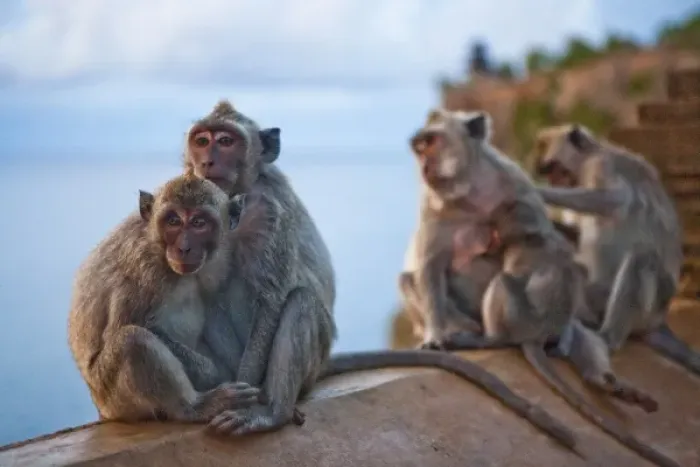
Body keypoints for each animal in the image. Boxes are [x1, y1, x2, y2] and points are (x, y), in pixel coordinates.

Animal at [405, 108, 680, 467]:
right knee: (411, 280)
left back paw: (602, 378)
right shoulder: (433, 205)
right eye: (421, 147)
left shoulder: (516, 183)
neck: (469, 190)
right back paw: (474, 336)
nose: (425, 166)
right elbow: (430, 267)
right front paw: (435, 336)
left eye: (433, 142)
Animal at [533, 124, 700, 377]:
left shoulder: (600, 165)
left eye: (556, 170)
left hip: (648, 308)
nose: (554, 183)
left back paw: (607, 338)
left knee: (642, 256)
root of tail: (659, 320)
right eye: (549, 173)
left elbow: (614, 199)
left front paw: (537, 192)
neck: (597, 151)